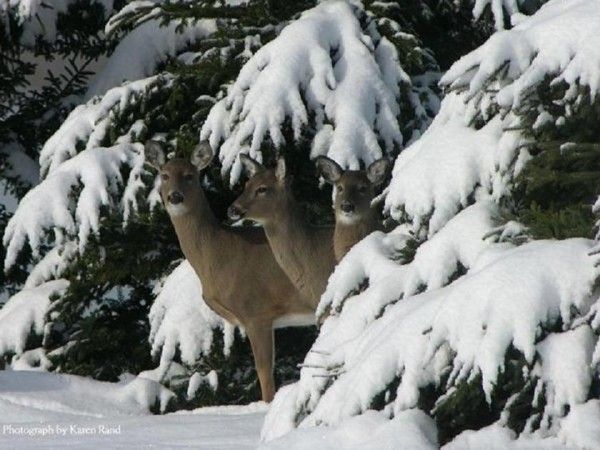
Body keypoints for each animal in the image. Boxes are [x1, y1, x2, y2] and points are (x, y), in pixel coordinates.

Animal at [145, 141, 314, 400]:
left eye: (190, 176)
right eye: (164, 175)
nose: (175, 196)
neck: (219, 255)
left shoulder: (256, 311)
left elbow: (264, 372)